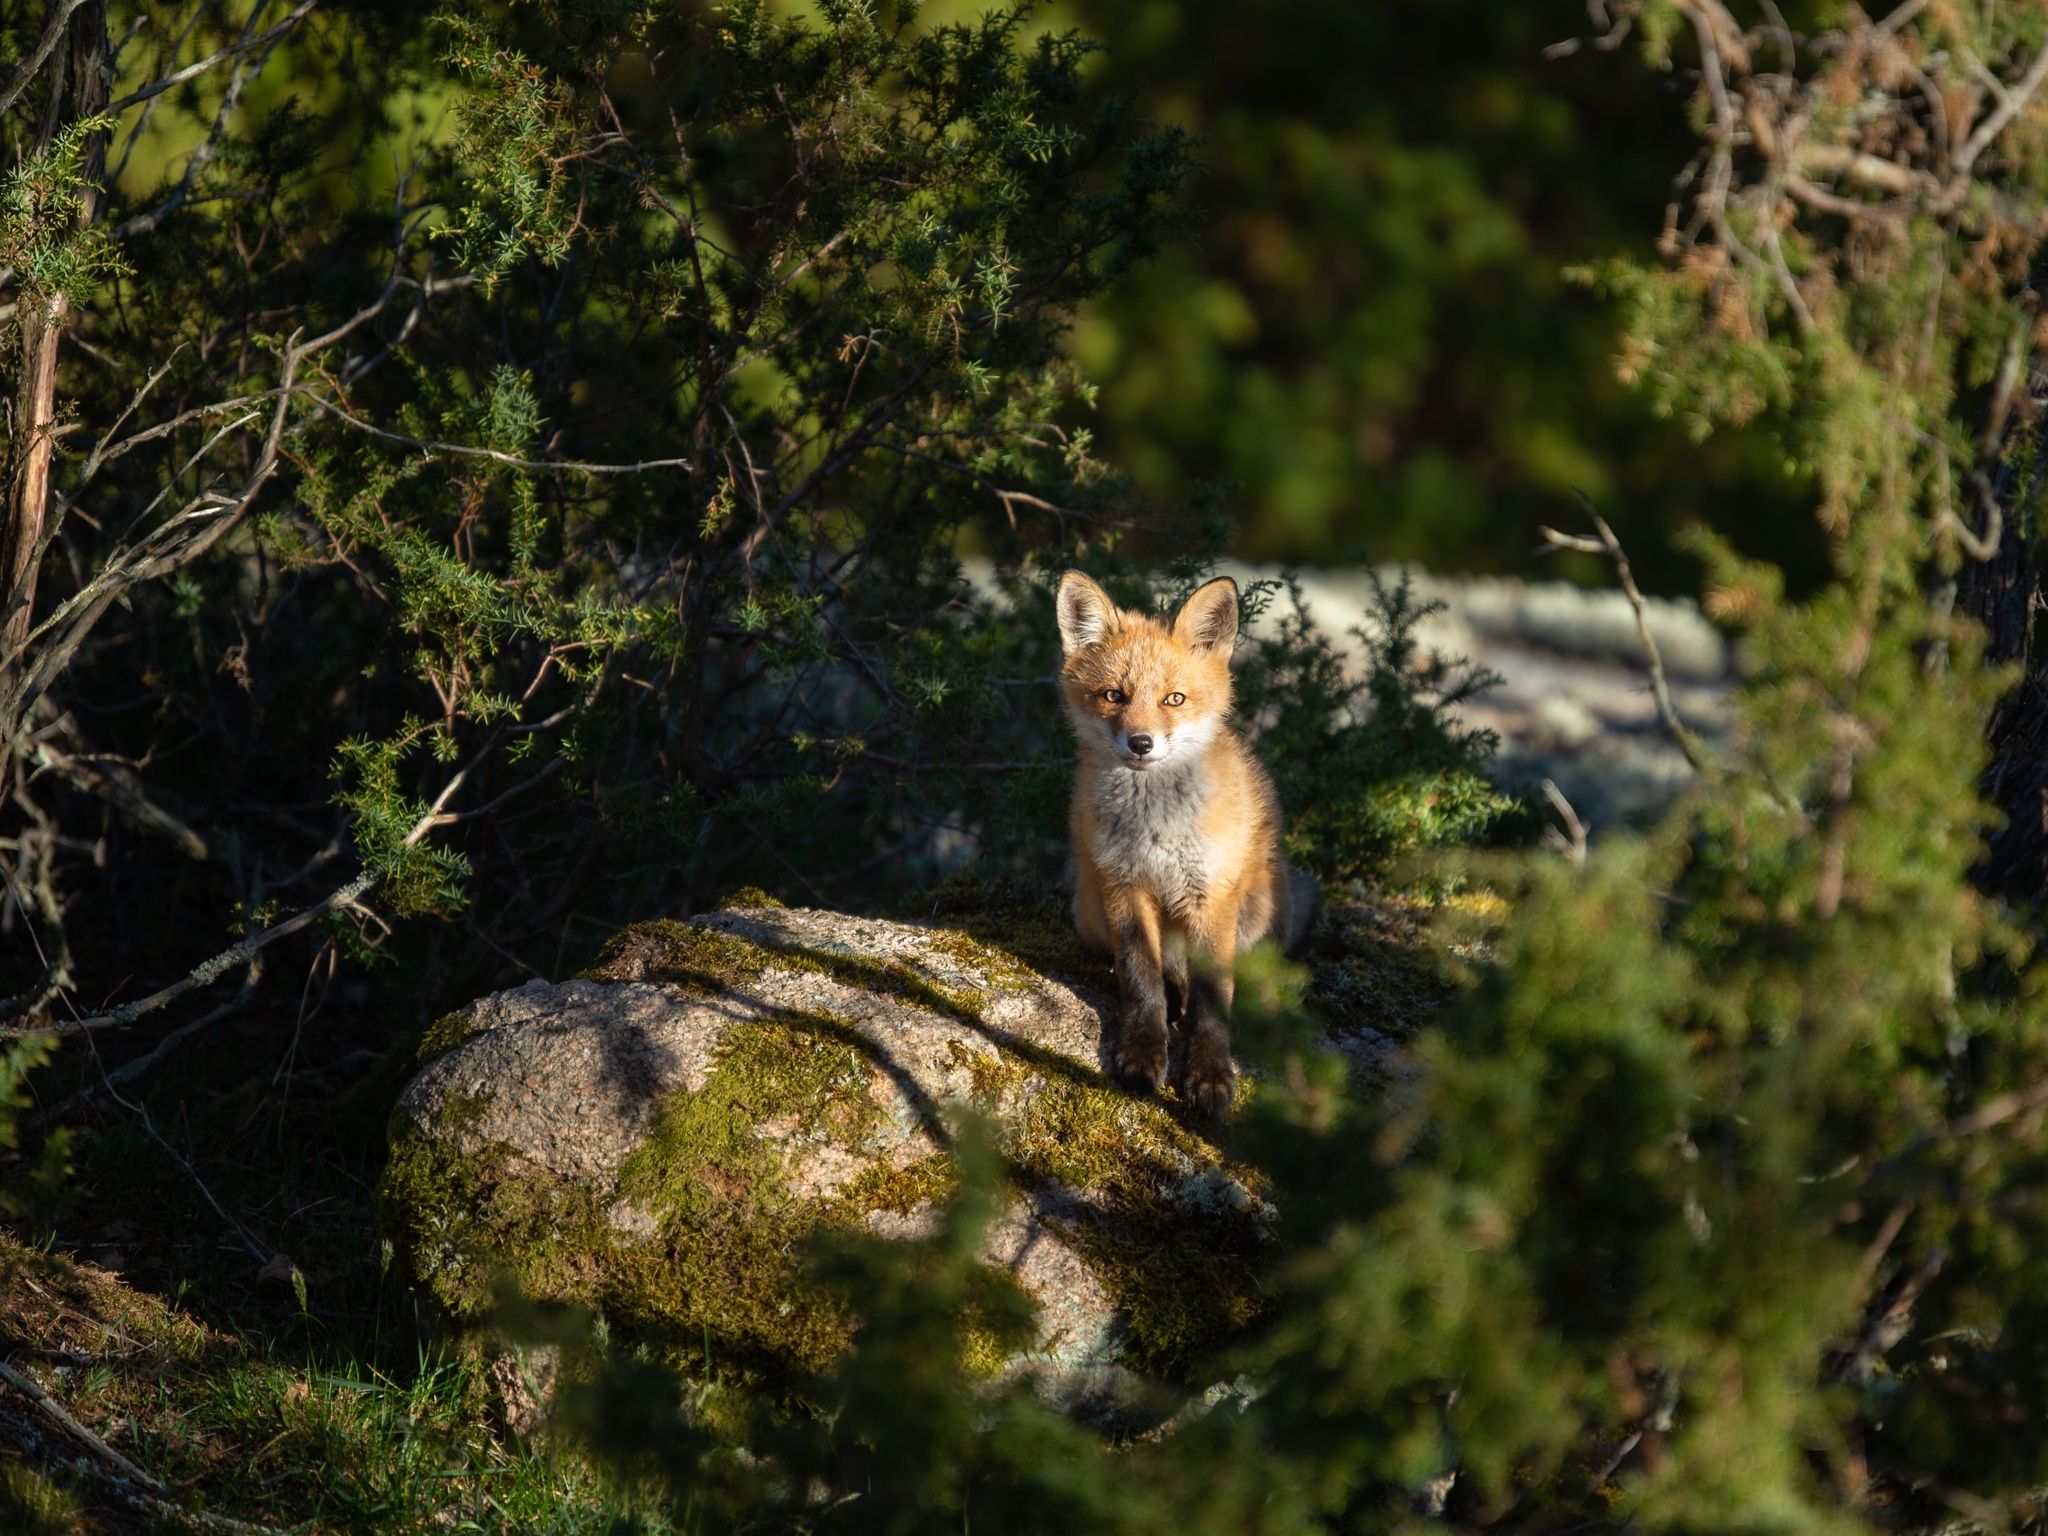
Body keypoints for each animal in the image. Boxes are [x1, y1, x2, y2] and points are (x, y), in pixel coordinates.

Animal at [1055, 570, 1319, 1115]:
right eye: (1113, 695)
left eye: (1173, 699)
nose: (1140, 743)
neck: (1156, 829)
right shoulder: (1122, 886)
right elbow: (1140, 980)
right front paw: (1141, 1053)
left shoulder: (1211, 896)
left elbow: (1213, 1002)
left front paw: (1211, 1074)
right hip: (1089, 913)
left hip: (1260, 909)